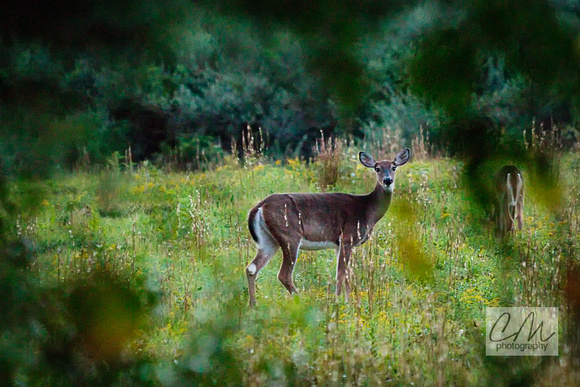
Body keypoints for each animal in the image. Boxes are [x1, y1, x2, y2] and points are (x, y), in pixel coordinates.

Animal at [247, 150, 410, 308]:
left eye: (393, 167)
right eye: (377, 168)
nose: (387, 180)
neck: (367, 210)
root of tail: (260, 206)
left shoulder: (339, 244)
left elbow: (348, 274)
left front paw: (349, 304)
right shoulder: (347, 237)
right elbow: (341, 274)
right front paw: (338, 302)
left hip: (268, 240)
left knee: (251, 268)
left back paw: (253, 305)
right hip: (290, 236)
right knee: (283, 274)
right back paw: (302, 302)